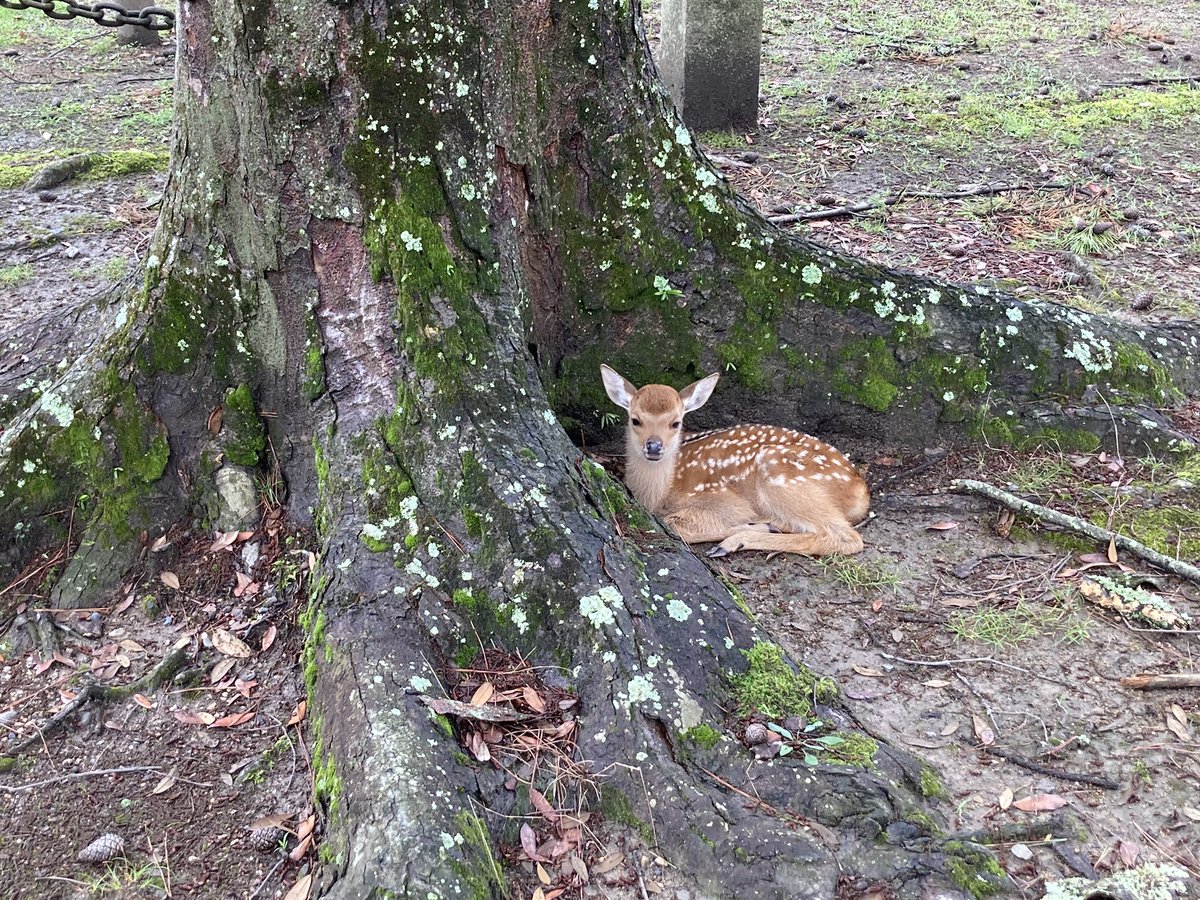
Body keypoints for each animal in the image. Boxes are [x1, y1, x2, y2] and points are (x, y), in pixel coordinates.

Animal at [600, 365, 869, 558]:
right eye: (635, 420)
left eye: (675, 423)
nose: (654, 446)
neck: (659, 493)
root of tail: (861, 491)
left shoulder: (724, 500)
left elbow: (674, 523)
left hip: (781, 475)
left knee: (846, 537)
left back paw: (734, 542)